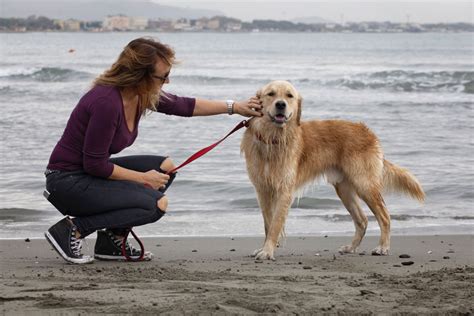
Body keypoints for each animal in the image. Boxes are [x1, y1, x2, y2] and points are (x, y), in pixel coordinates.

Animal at [241, 80, 426, 260]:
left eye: (289, 95)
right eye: (271, 94)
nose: (281, 104)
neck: (272, 138)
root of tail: (368, 132)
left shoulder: (285, 190)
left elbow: (275, 225)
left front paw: (267, 251)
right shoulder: (262, 190)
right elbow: (268, 223)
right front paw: (264, 248)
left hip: (364, 185)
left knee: (385, 216)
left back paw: (383, 247)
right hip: (344, 189)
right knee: (362, 220)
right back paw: (351, 247)